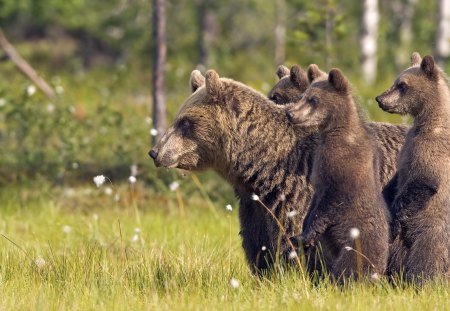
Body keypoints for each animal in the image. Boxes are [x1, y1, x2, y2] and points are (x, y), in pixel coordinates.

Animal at [288, 67, 390, 282]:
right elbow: (315, 201)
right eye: (303, 96)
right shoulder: (319, 168)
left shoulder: (344, 166)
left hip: (357, 244)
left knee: (349, 268)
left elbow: (332, 200)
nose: (290, 113)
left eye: (313, 99)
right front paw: (301, 233)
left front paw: (305, 235)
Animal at [374, 53, 450, 282]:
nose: (379, 98)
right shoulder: (407, 148)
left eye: (402, 85)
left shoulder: (431, 150)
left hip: (433, 227)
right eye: (396, 81)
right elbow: (397, 179)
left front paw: (393, 220)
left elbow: (423, 182)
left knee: (426, 257)